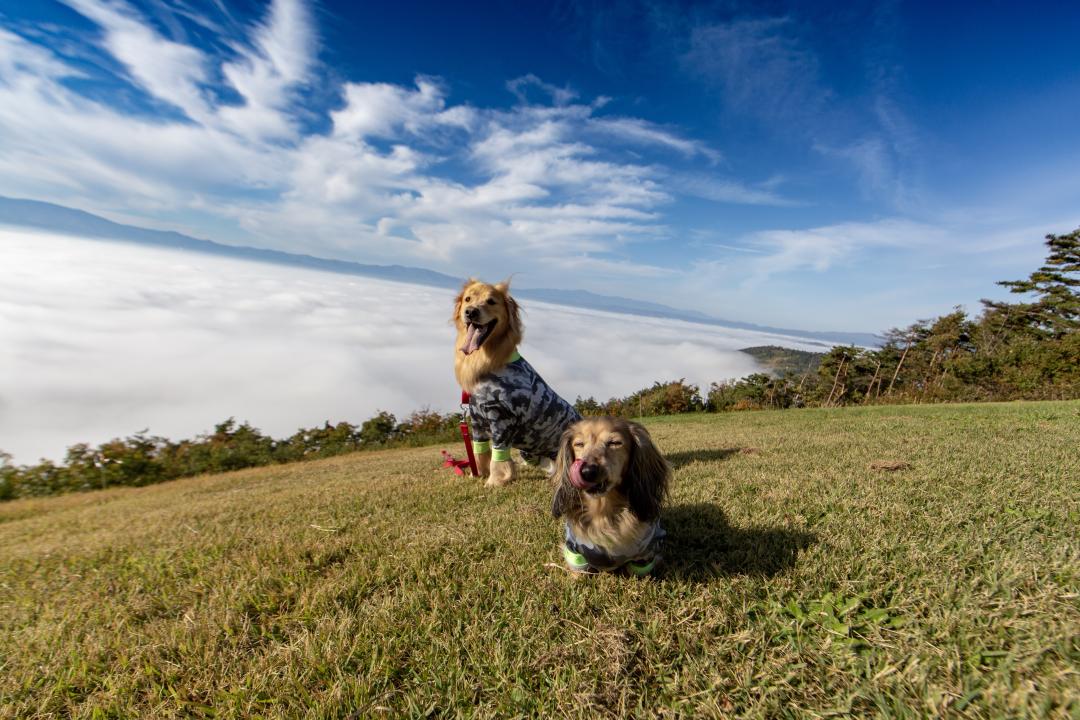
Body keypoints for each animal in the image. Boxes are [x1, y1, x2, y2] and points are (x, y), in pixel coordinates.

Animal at [451, 278, 583, 487]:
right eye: (468, 299)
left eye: (491, 301)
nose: (470, 312)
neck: (488, 360)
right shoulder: (477, 420)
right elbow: (479, 452)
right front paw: (477, 474)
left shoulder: (502, 419)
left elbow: (498, 456)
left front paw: (494, 481)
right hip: (529, 451)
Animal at [552, 416, 669, 574]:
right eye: (579, 444)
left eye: (615, 443)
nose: (587, 471)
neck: (603, 512)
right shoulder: (574, 551)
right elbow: (579, 572)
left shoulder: (645, 554)